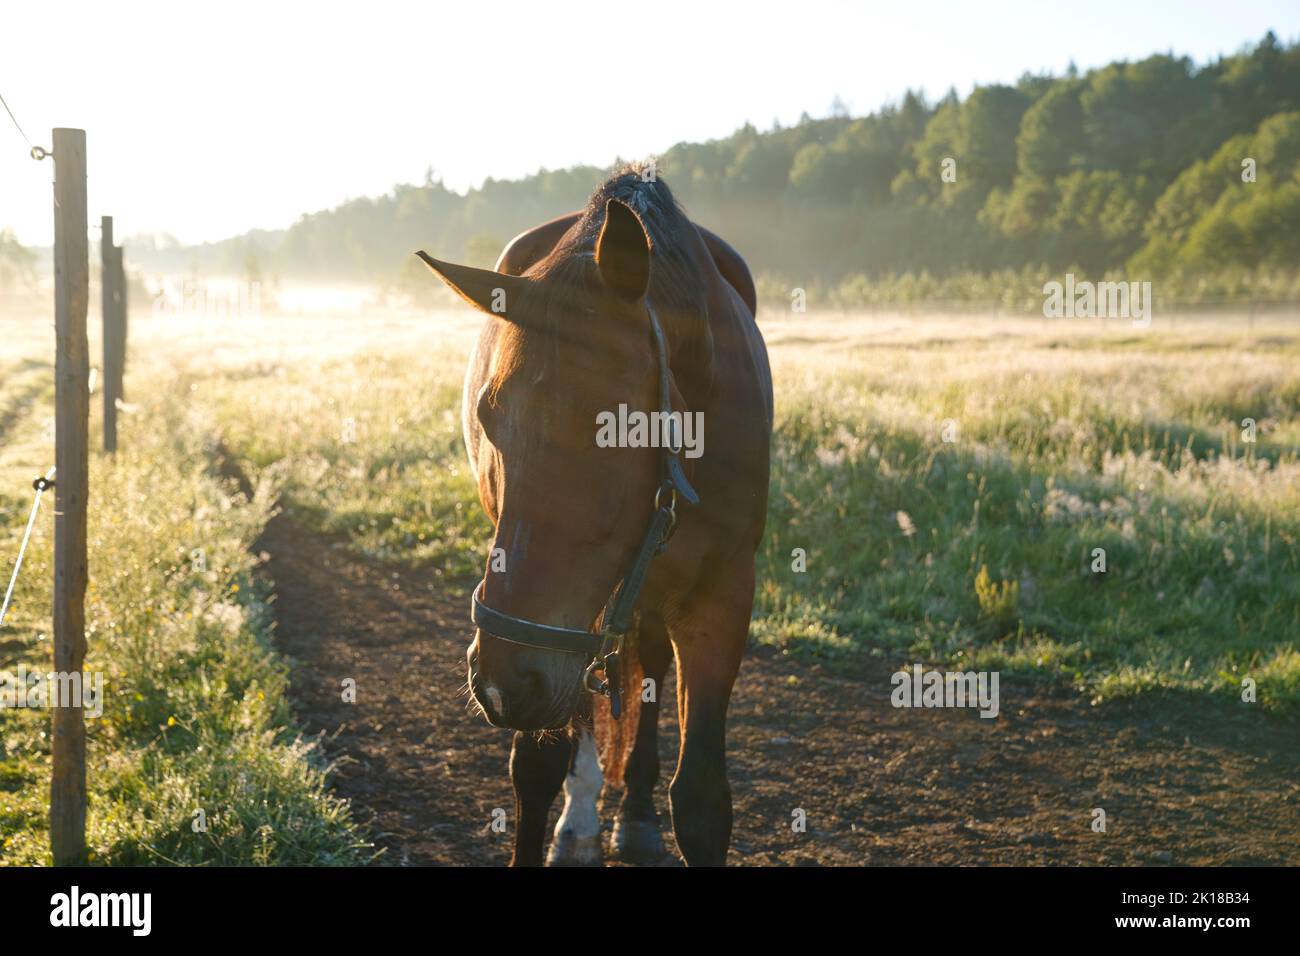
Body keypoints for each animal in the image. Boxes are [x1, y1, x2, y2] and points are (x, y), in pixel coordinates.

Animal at [418, 164, 769, 868]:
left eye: (613, 427)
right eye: (488, 418)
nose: (502, 682)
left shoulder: (722, 594)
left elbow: (702, 802)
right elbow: (537, 765)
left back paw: (633, 813)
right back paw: (581, 818)